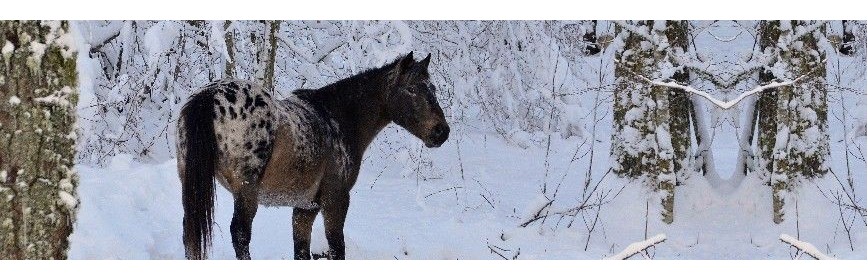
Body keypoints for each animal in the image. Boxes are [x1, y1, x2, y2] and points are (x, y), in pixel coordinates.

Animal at [174, 53, 450, 260]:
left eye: (433, 89)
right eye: (411, 89)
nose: (441, 131)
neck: (336, 119)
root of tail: (209, 97)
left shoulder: (305, 208)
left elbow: (301, 252)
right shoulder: (335, 200)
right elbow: (336, 249)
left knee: (190, 234)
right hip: (246, 192)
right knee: (240, 235)